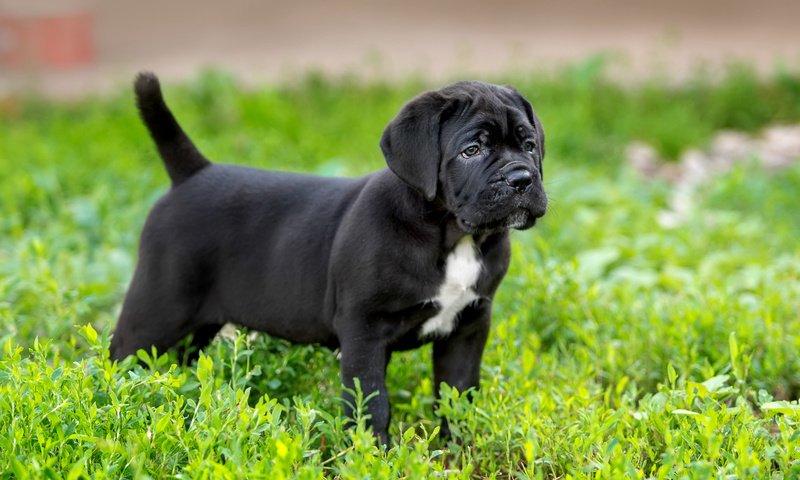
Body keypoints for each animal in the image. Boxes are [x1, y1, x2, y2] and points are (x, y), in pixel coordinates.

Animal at [112, 73, 548, 444]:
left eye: (529, 146)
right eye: (471, 150)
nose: (522, 178)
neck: (454, 236)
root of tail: (192, 175)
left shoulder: (467, 326)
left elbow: (457, 395)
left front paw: (457, 450)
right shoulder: (365, 330)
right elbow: (372, 403)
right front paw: (374, 455)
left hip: (200, 322)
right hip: (157, 309)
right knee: (120, 358)